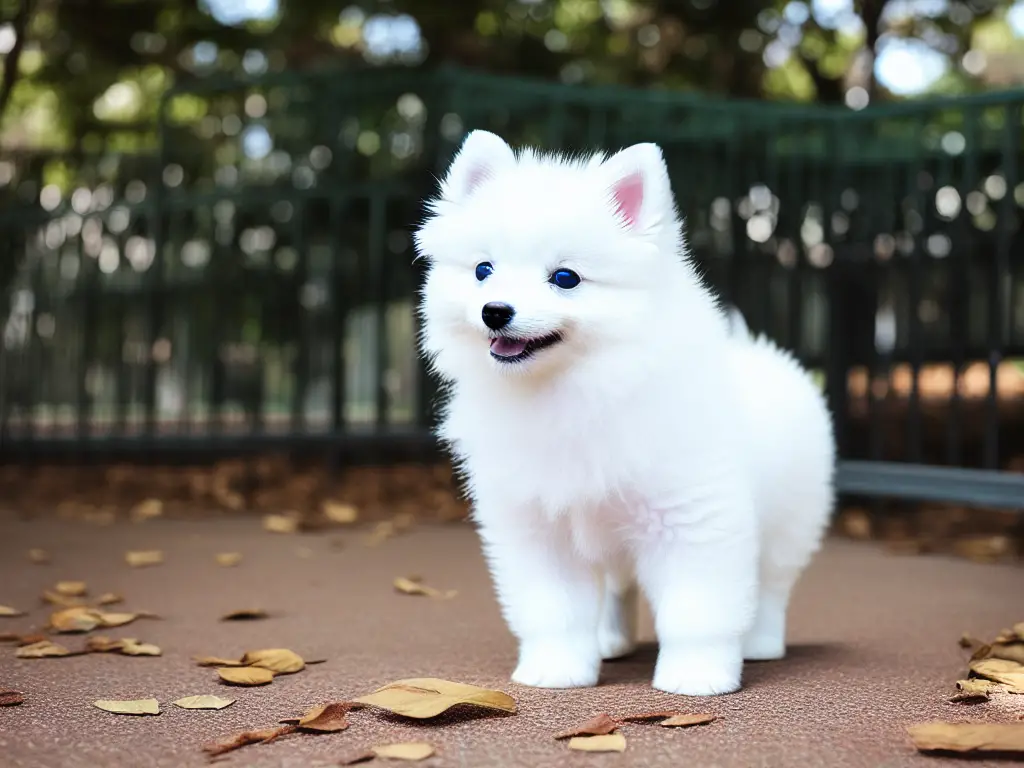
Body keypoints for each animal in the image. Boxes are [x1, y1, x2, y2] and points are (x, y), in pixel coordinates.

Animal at [411, 131, 835, 696]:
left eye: (565, 278)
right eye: (483, 271)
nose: (494, 310)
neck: (576, 388)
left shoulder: (691, 520)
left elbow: (697, 610)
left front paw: (696, 675)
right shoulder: (538, 528)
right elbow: (555, 611)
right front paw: (557, 668)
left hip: (789, 524)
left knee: (771, 587)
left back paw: (761, 643)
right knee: (617, 589)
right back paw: (610, 642)